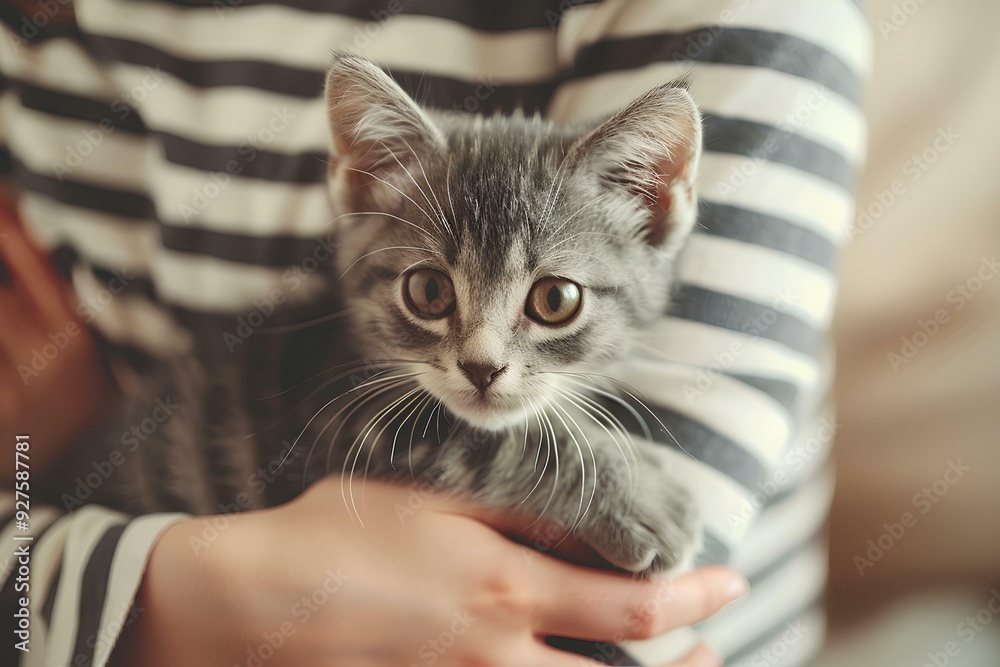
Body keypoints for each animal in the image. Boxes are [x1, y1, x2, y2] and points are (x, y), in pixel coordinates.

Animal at [316, 54, 708, 576]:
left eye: (556, 300)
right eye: (429, 291)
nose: (482, 369)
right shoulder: (342, 412)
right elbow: (501, 442)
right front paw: (640, 494)